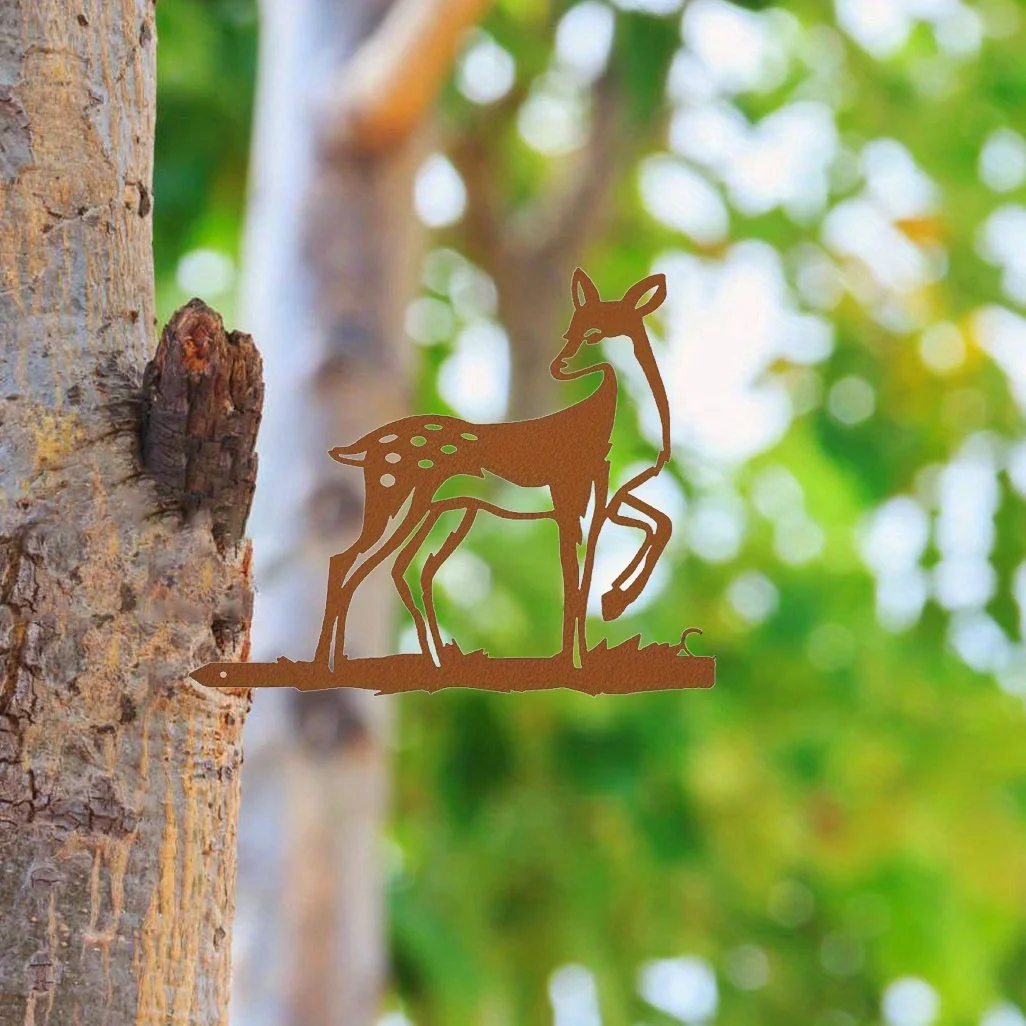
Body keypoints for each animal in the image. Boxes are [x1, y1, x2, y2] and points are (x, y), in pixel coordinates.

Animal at [314, 268, 673, 670]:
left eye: (594, 333)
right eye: (570, 333)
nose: (558, 367)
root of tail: (364, 446)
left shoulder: (602, 496)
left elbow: (650, 530)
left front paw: (608, 612)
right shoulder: (567, 497)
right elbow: (573, 577)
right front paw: (575, 655)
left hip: (444, 511)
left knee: (405, 568)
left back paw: (431, 659)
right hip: (397, 498)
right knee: (347, 561)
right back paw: (330, 663)